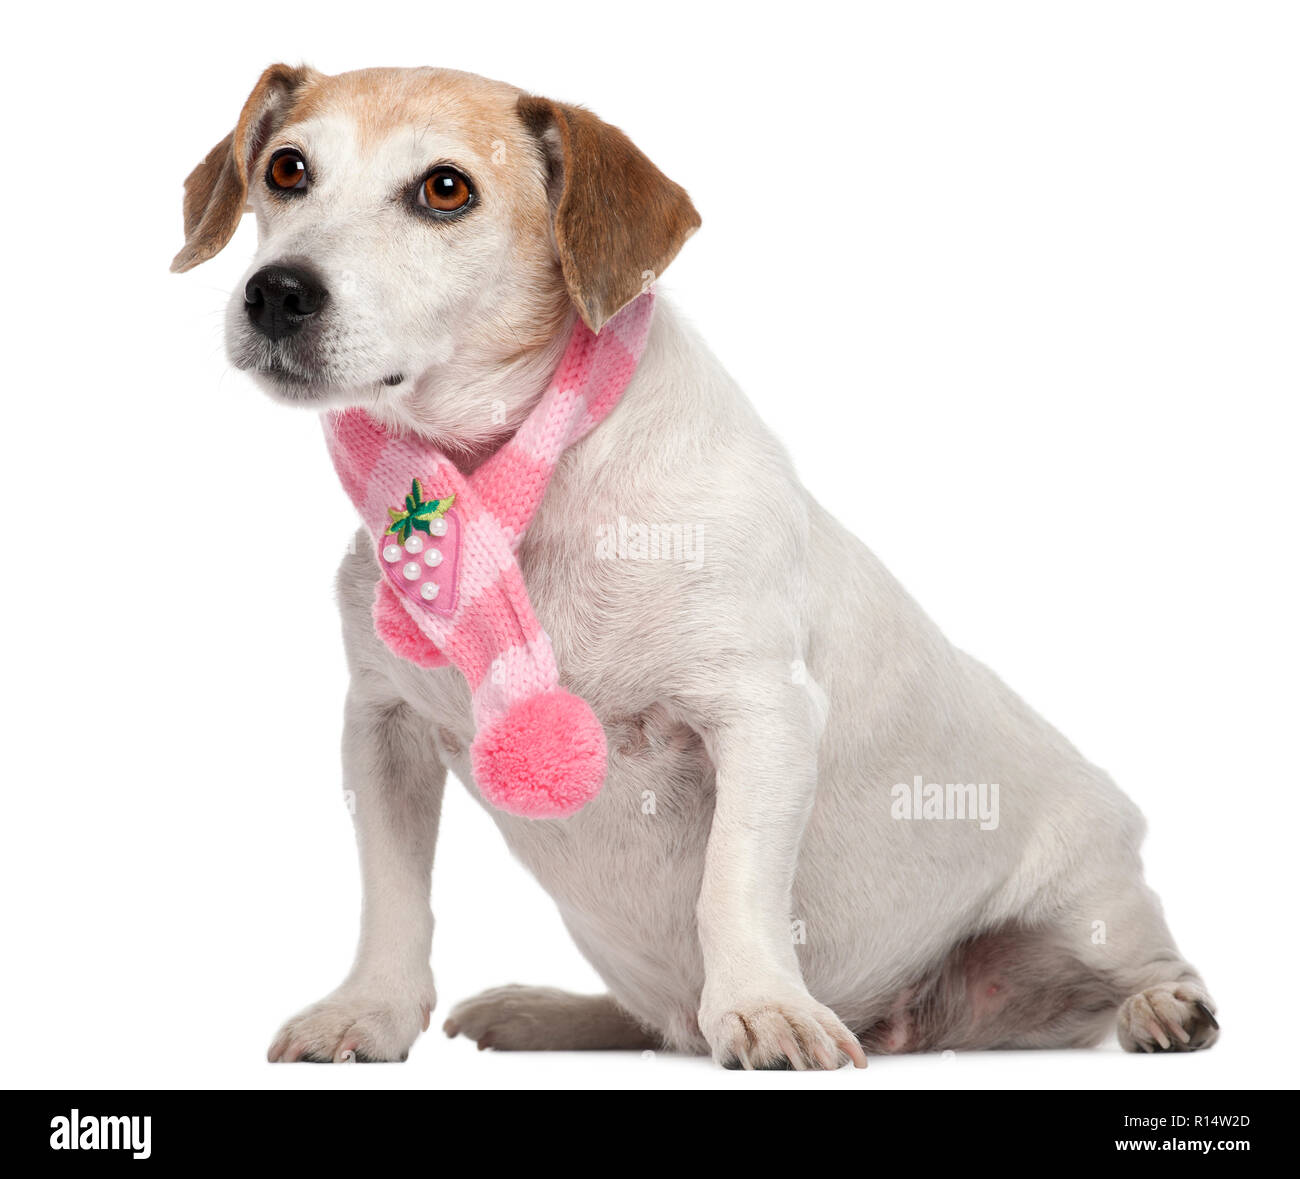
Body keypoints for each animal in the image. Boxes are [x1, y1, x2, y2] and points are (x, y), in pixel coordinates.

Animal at [172, 66, 1216, 1076]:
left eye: (445, 189)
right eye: (287, 169)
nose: (276, 291)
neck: (520, 478)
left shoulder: (761, 714)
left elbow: (732, 885)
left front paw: (762, 1006)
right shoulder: (381, 729)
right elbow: (393, 897)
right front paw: (369, 1010)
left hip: (1093, 908)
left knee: (1134, 972)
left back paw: (1165, 1007)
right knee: (655, 1023)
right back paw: (549, 1010)